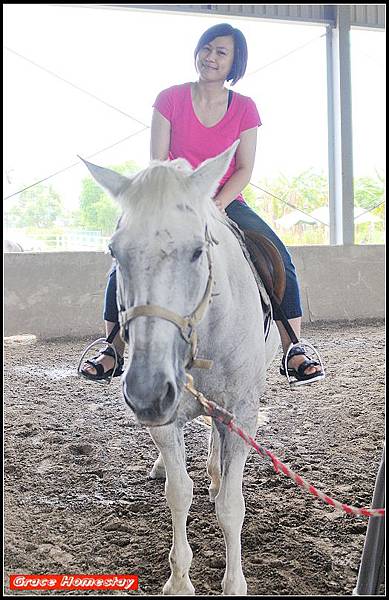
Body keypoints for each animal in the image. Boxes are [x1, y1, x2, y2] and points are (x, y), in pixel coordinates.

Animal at [81, 144, 278, 596]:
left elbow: (231, 506)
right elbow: (178, 492)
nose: (148, 392)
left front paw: (234, 582)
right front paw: (180, 580)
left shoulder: (241, 414)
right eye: (115, 252)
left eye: (196, 251)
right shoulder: (166, 422)